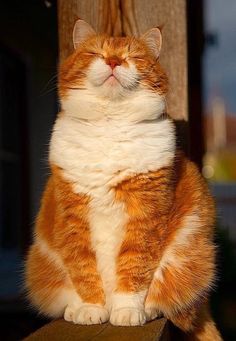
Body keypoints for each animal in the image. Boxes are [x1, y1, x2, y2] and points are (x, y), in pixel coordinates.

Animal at [24, 19, 222, 340]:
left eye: (133, 56)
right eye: (96, 52)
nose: (114, 61)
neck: (110, 124)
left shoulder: (145, 214)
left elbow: (135, 266)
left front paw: (127, 310)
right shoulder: (72, 214)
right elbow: (82, 267)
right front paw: (91, 308)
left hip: (189, 253)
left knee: (174, 303)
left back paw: (148, 310)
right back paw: (75, 309)